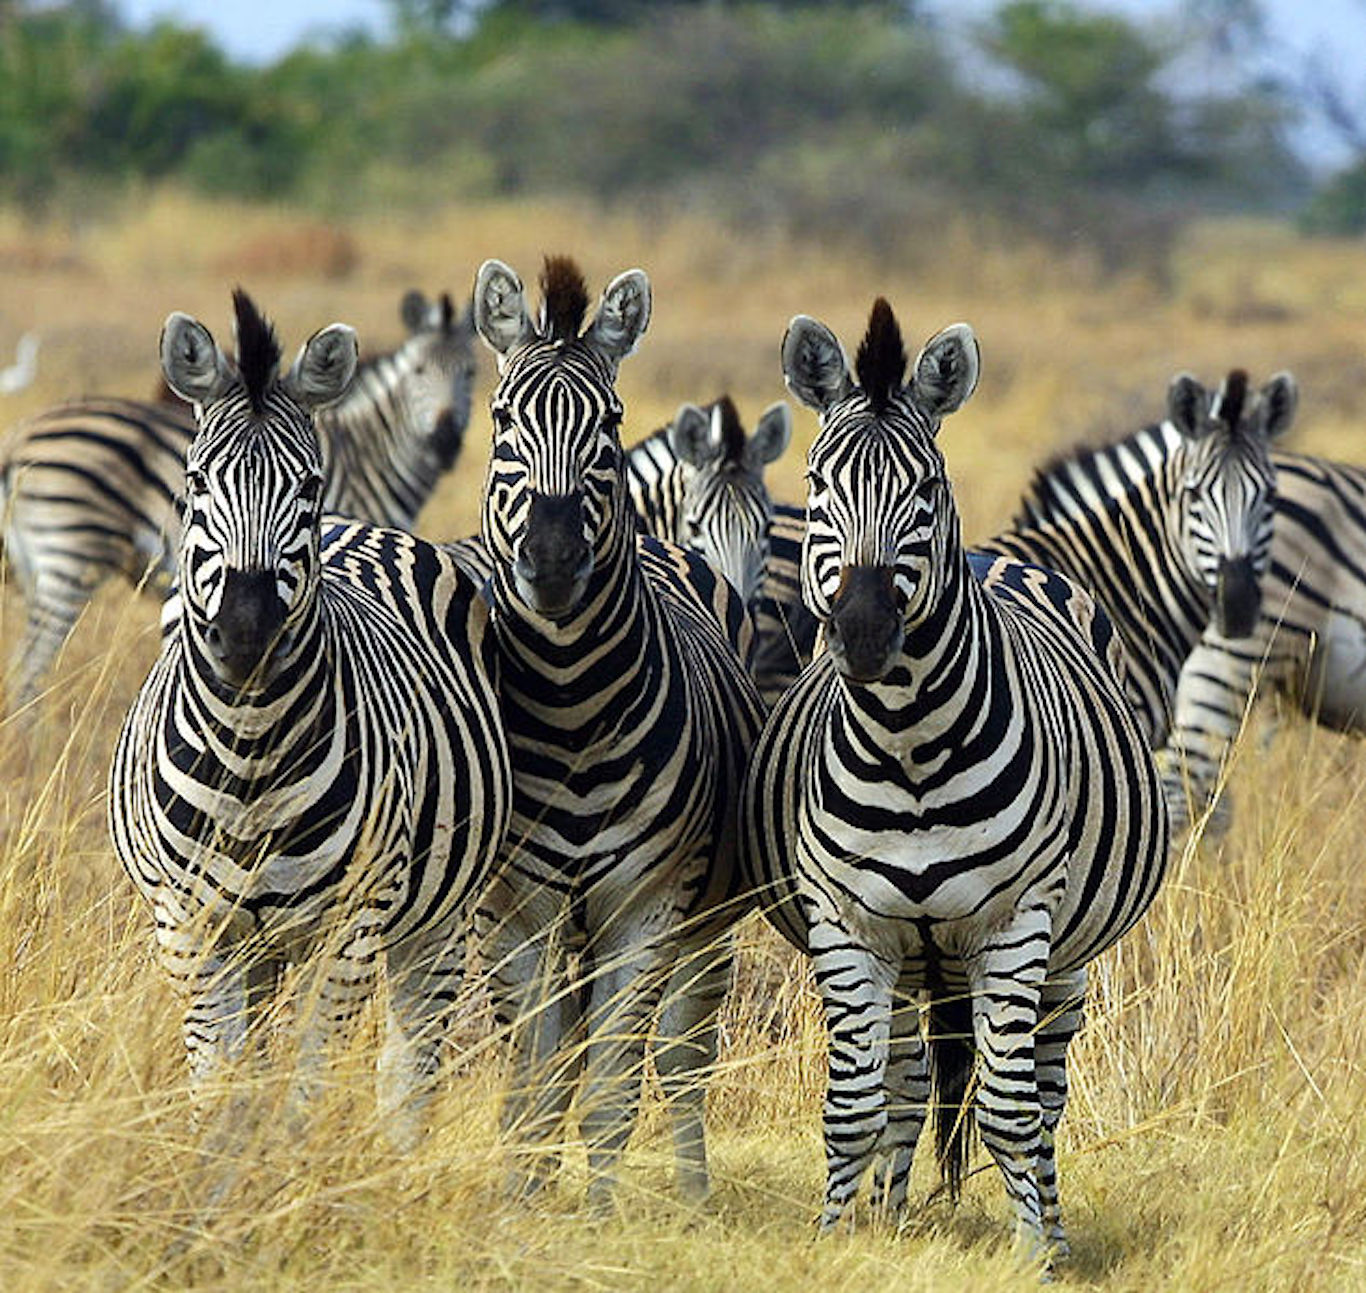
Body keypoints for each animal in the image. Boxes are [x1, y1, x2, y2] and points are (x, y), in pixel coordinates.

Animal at [0, 287, 476, 713]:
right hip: (71, 553)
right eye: (419, 371)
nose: (446, 442)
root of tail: (20, 435)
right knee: (29, 667)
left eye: (471, 374)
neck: (366, 455)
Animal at [108, 290, 510, 1151]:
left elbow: (309, 1086)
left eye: (310, 482)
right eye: (196, 479)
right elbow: (220, 1089)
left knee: (410, 1063)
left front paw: (291, 1171)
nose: (247, 630)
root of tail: (365, 528)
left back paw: (395, 1160)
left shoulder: (351, 924)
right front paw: (224, 1178)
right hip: (258, 944)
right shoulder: (189, 927)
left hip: (436, 913)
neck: (249, 748)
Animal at [470, 256, 765, 1206]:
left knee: (679, 1054)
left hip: (704, 920)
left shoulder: (646, 904)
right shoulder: (514, 911)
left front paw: (598, 1216)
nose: (555, 561)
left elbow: (612, 1083)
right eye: (502, 421)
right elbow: (534, 1075)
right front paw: (522, 1204)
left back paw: (694, 1192)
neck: (568, 707)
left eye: (610, 424)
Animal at [740, 298, 1169, 1258]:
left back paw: (1052, 1227)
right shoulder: (848, 921)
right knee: (902, 1080)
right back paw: (890, 1211)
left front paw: (1034, 1255)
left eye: (926, 492)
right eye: (817, 485)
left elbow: (1010, 1112)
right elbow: (852, 1107)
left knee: (1043, 1094)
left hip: (1063, 957)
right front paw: (837, 1240)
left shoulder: (1014, 922)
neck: (907, 745)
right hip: (911, 958)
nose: (864, 634)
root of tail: (1000, 557)